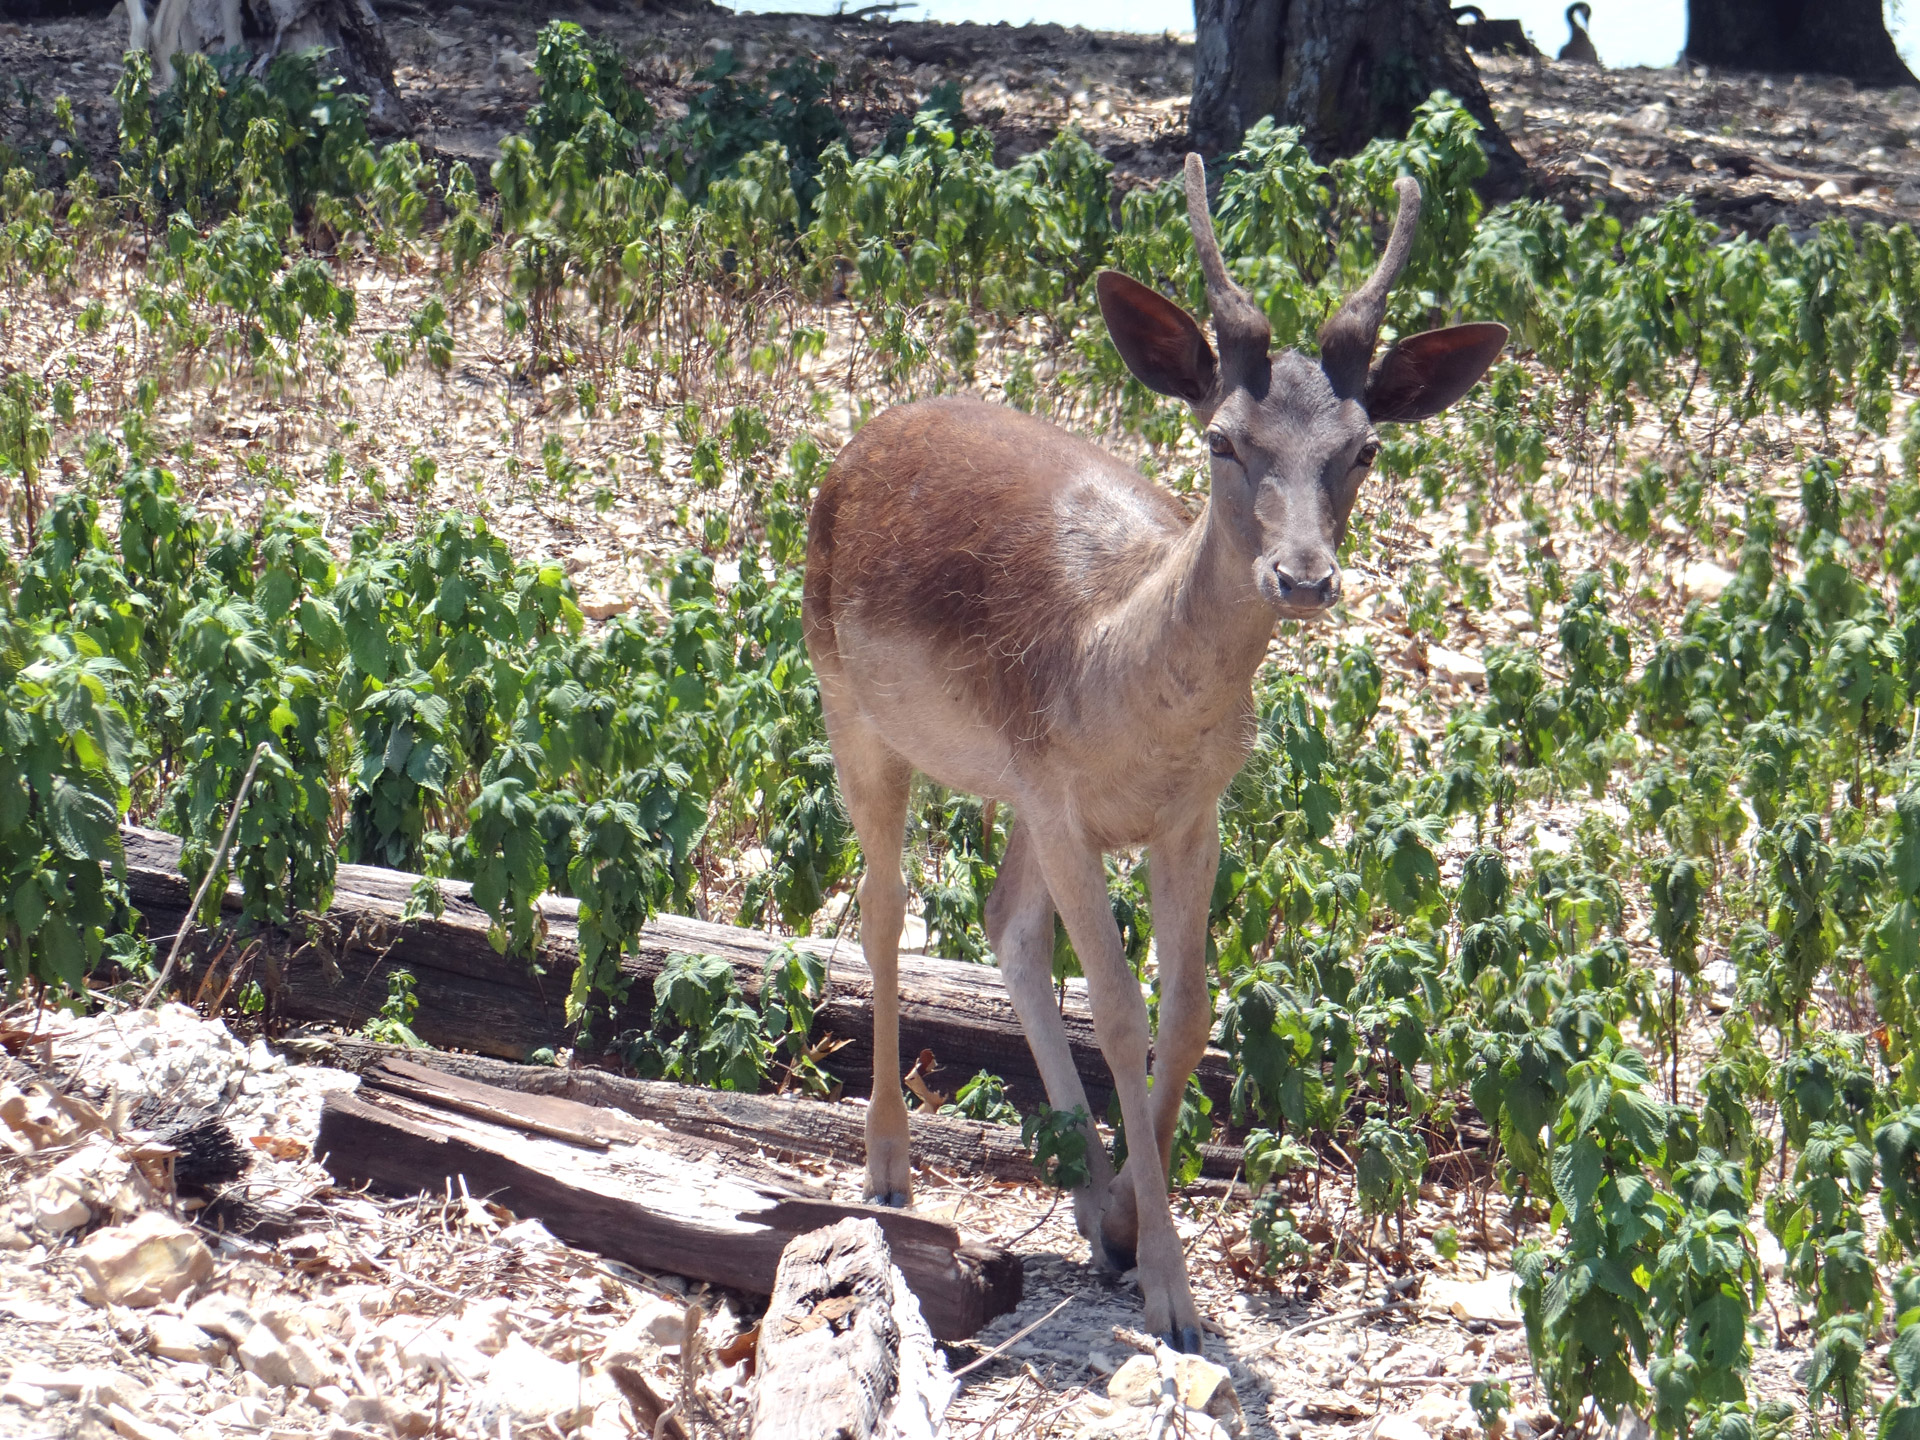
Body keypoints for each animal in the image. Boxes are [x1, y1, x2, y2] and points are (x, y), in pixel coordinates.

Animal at [802, 157, 1505, 1351]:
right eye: (1224, 437)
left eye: (1364, 449)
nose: (1303, 576)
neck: (1125, 680)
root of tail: (858, 444)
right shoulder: (1060, 798)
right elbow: (1121, 1006)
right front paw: (1174, 1294)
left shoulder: (1187, 811)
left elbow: (1188, 1009)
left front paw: (1132, 1216)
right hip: (850, 703)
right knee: (886, 911)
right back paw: (889, 1165)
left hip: (1009, 785)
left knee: (1004, 925)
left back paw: (1088, 1197)